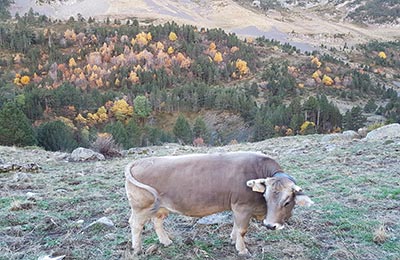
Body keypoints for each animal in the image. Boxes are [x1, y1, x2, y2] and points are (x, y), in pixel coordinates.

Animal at [125, 151, 312, 255]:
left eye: (287, 201)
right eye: (265, 196)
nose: (270, 225)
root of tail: (139, 161)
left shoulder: (237, 208)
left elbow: (236, 226)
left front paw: (233, 239)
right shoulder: (242, 207)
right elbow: (242, 229)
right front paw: (242, 250)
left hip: (160, 207)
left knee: (157, 222)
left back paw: (166, 241)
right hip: (141, 207)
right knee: (135, 224)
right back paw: (137, 249)